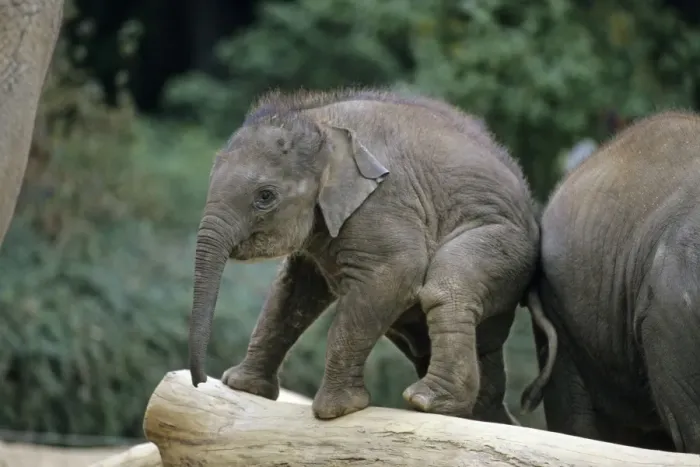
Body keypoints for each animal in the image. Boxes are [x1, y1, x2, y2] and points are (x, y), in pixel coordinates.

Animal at [187, 87, 557, 422]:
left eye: (265, 196)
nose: (200, 381)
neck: (319, 120)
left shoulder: (383, 202)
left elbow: (396, 272)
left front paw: (337, 411)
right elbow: (292, 290)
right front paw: (242, 386)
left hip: (506, 245)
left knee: (446, 287)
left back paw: (426, 402)